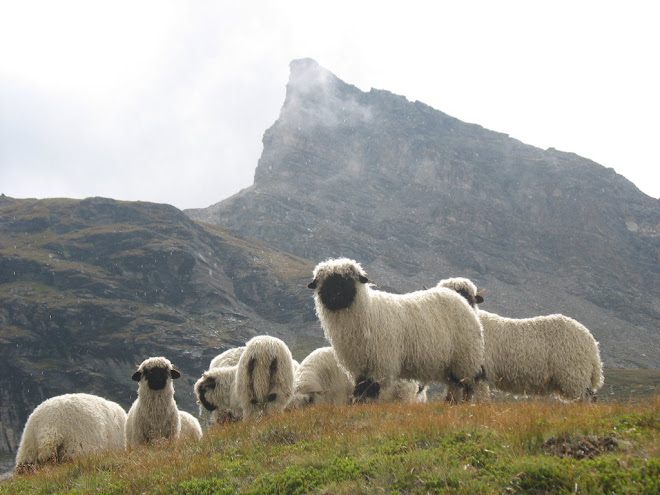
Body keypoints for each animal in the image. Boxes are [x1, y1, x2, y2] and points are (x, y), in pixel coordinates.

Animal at [306, 260, 488, 404]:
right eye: (324, 281)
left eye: (347, 280)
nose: (334, 295)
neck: (367, 311)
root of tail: (462, 300)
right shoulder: (359, 366)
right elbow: (360, 389)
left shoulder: (381, 362)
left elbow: (372, 389)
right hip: (453, 363)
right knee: (456, 384)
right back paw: (453, 403)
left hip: (466, 355)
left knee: (473, 383)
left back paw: (474, 403)